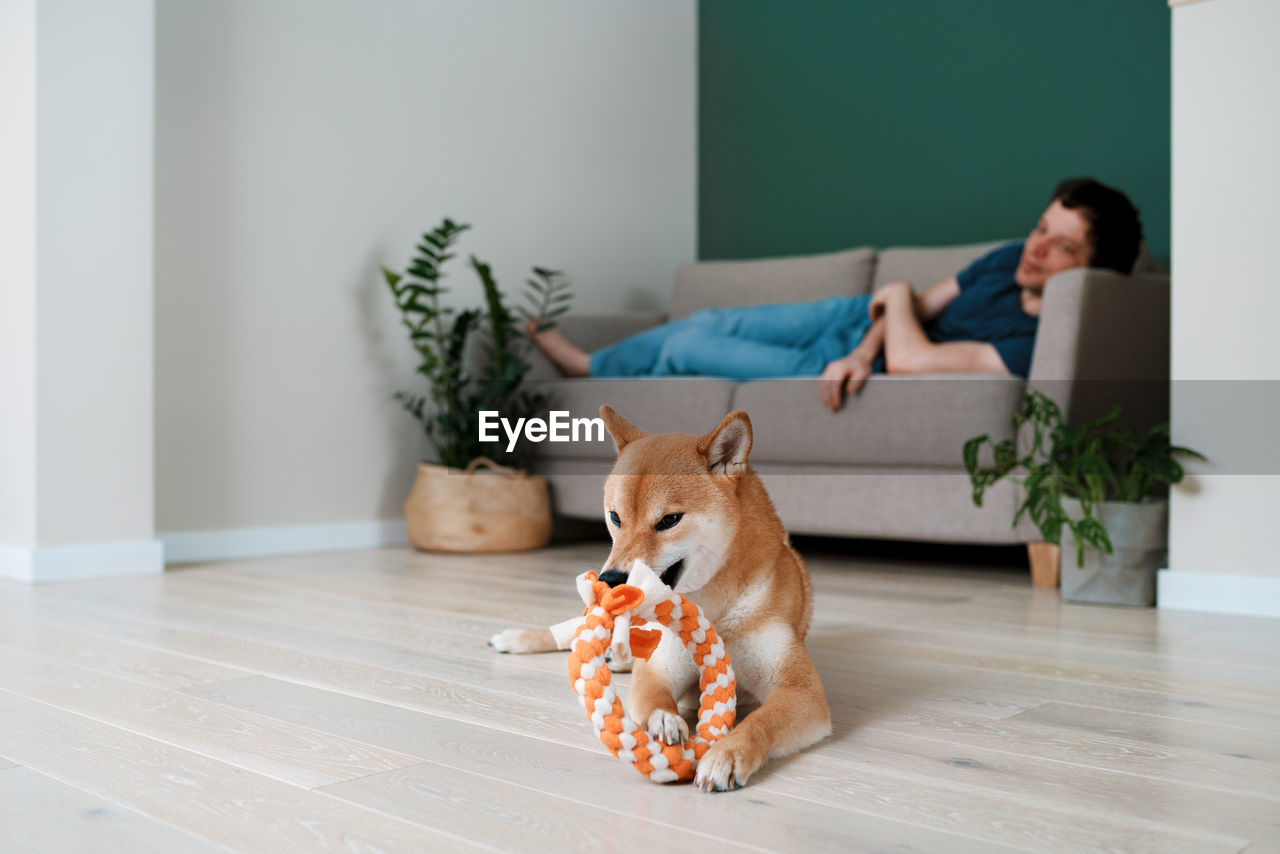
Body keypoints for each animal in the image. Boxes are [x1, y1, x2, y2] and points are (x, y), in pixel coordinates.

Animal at [486, 407, 829, 788]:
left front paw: (726, 755)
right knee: (574, 632)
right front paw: (664, 720)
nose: (610, 580)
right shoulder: (659, 668)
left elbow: (760, 722)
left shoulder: (802, 692)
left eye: (669, 520)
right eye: (615, 517)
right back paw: (517, 638)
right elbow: (654, 697)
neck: (714, 611)